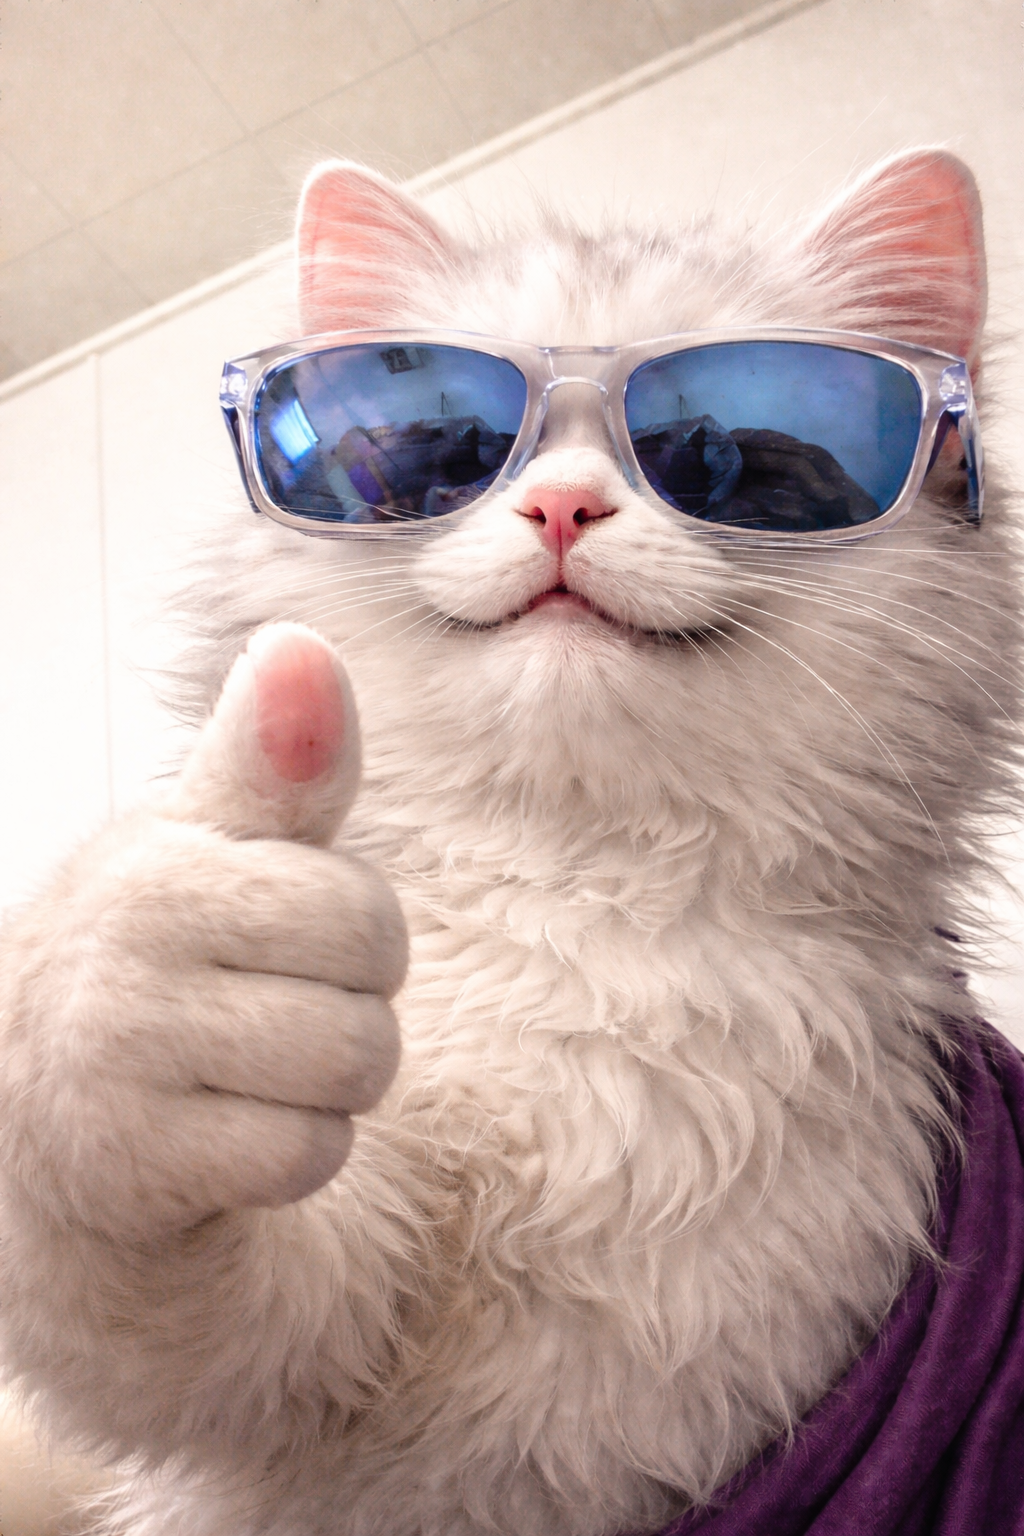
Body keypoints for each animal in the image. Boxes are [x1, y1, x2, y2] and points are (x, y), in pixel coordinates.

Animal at [0, 148, 1020, 1536]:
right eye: (470, 451)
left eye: (715, 449)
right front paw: (163, 978)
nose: (561, 505)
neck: (577, 895)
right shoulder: (303, 1373)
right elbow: (155, 1275)